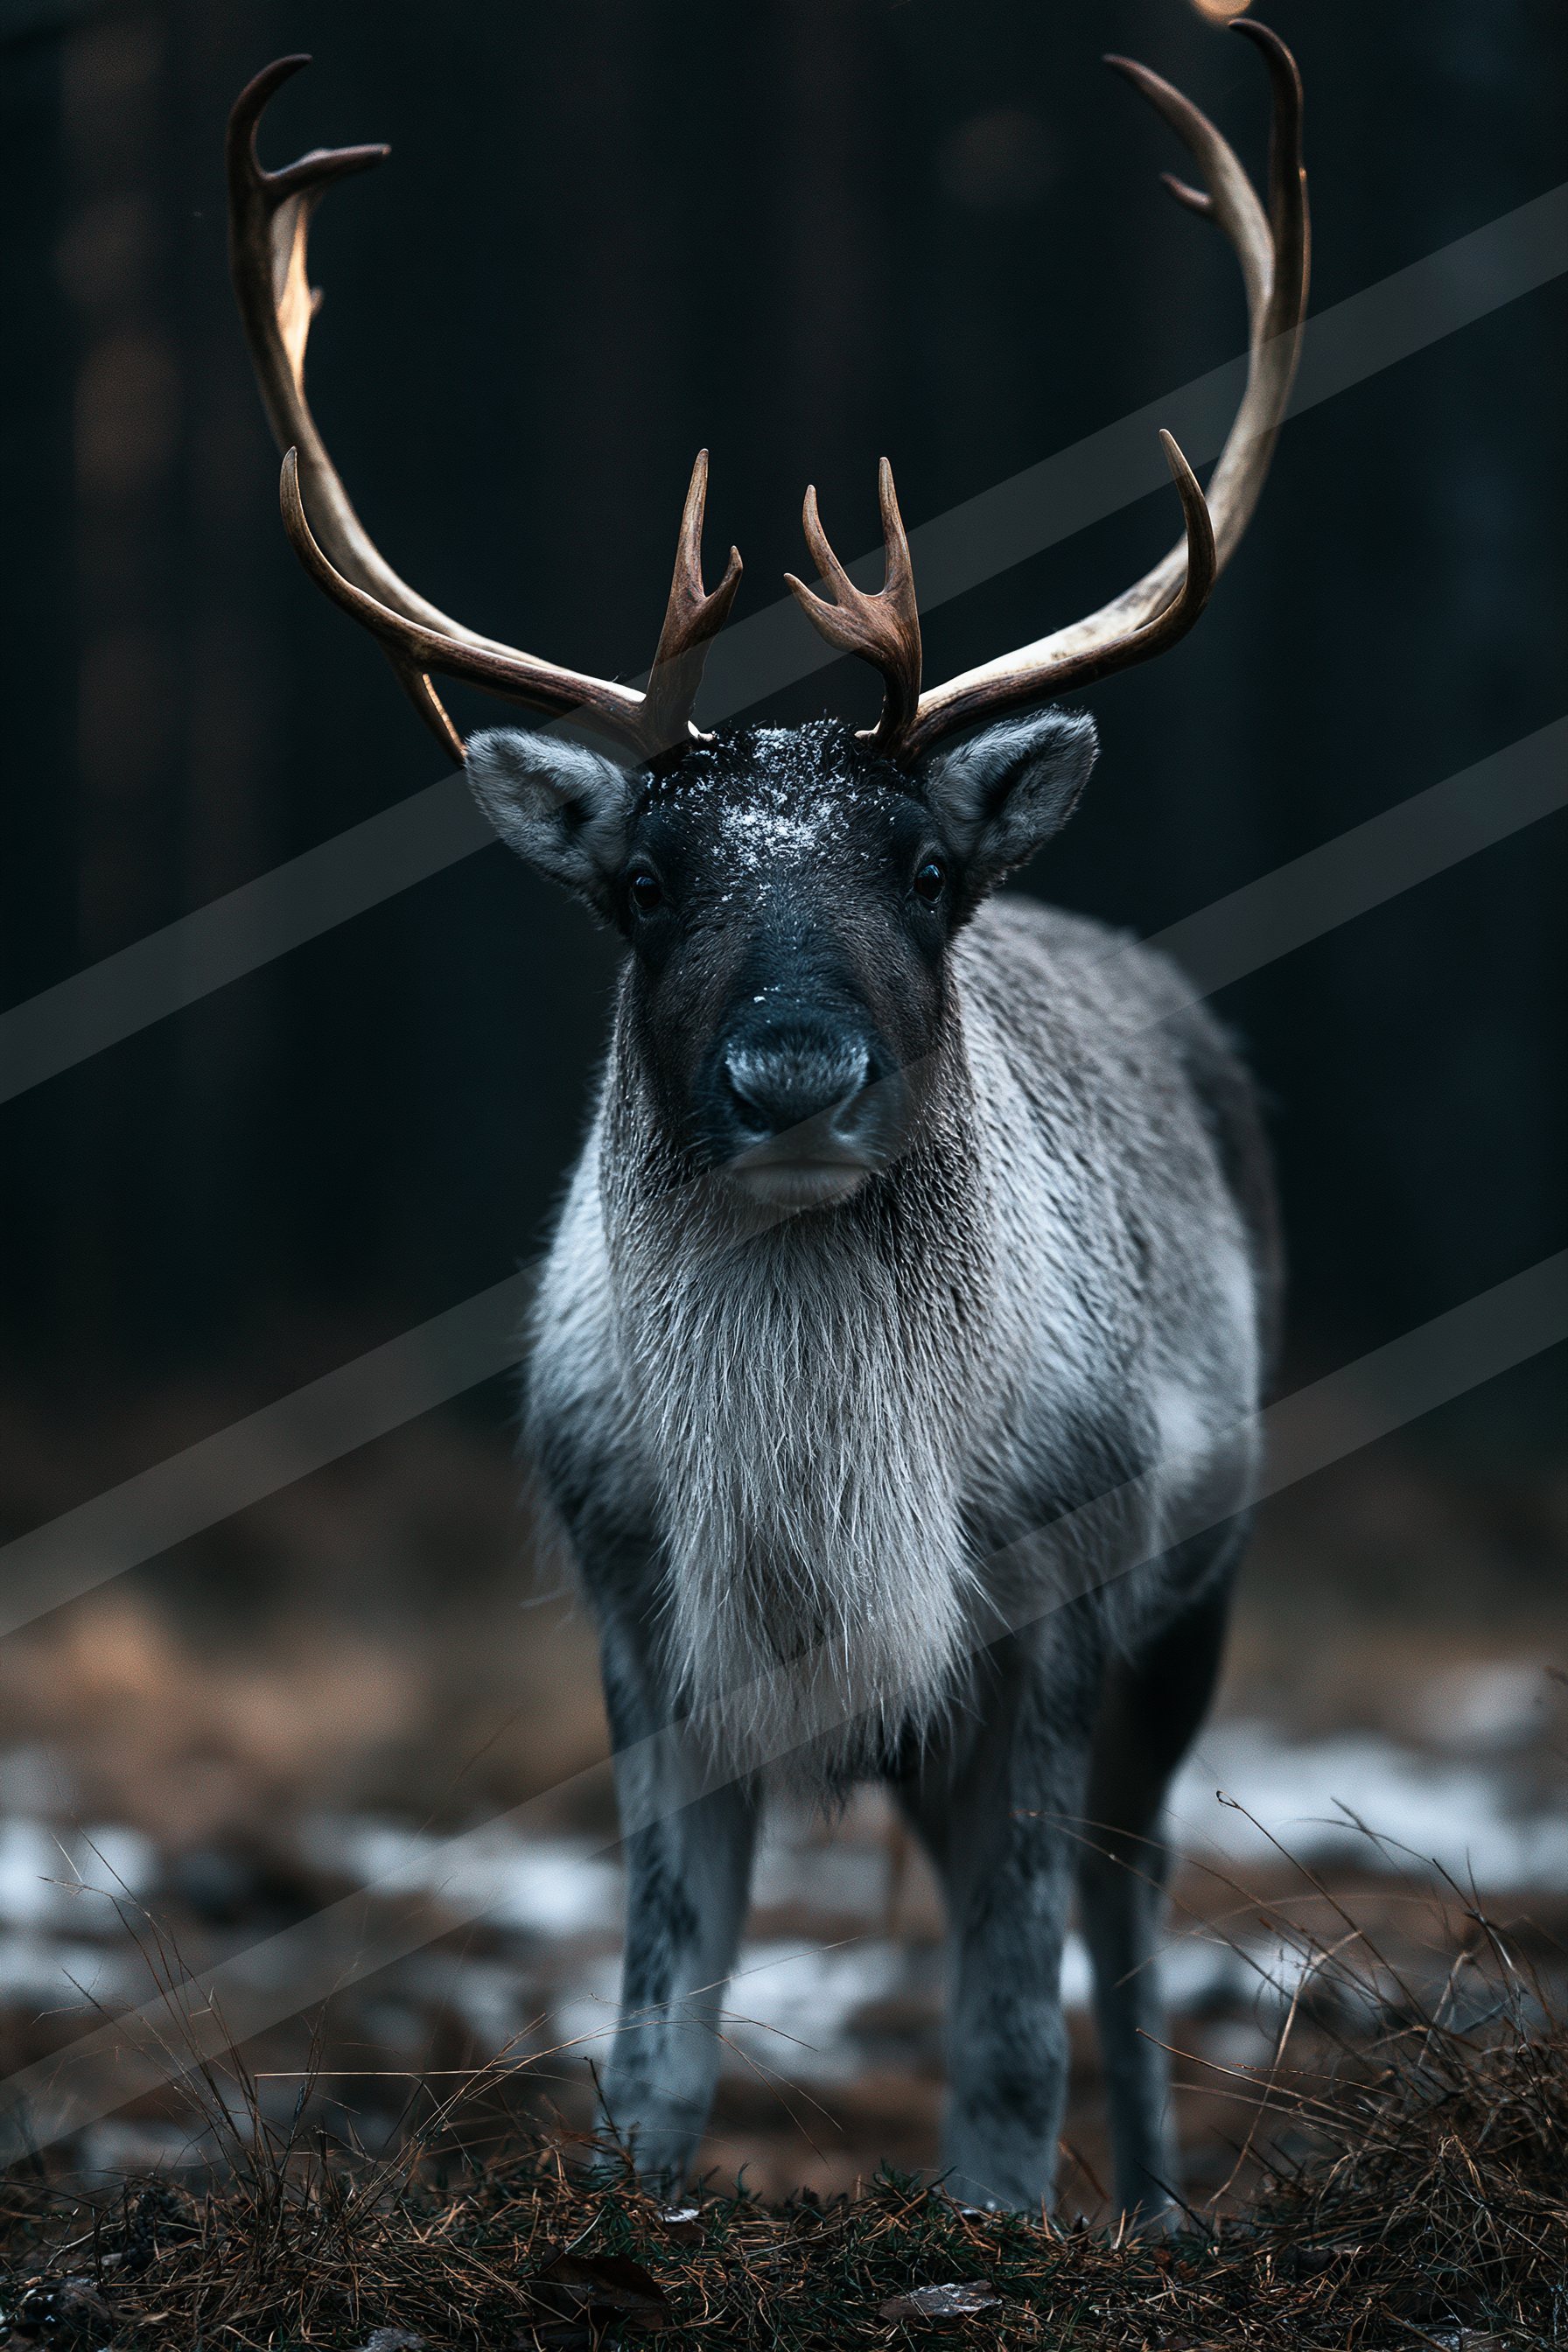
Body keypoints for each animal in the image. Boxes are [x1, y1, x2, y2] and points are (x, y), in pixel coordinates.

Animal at [229, 18, 1306, 2219]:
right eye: (645, 883)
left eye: (924, 867)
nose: (792, 1073)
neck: (828, 1511)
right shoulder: (642, 1617)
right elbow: (653, 2033)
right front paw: (630, 2219)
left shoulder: (1059, 1606)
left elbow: (1006, 2031)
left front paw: (1002, 2229)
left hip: (1203, 1586)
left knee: (1129, 1916)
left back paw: (1158, 2205)